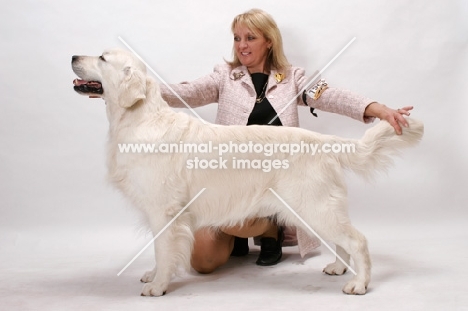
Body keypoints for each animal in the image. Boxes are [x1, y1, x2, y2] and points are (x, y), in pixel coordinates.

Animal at [72, 48, 424, 298]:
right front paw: (154, 274)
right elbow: (161, 250)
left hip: (314, 205)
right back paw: (338, 268)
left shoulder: (164, 210)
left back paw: (359, 284)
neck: (139, 118)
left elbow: (163, 248)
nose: (73, 57)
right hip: (315, 208)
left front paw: (158, 286)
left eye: (102, 57)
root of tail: (323, 141)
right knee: (342, 241)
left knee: (358, 240)